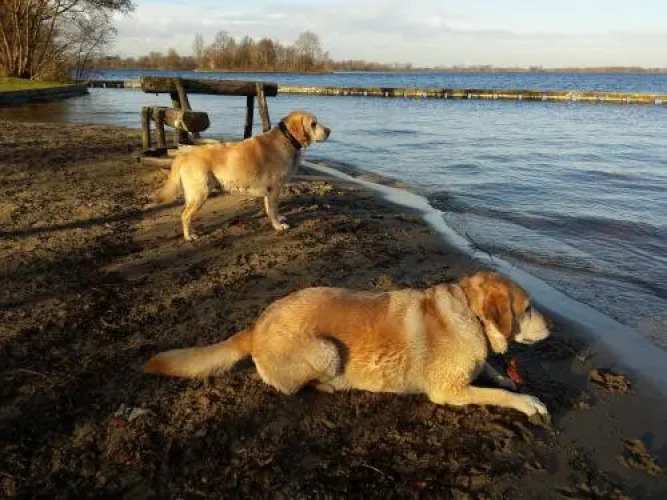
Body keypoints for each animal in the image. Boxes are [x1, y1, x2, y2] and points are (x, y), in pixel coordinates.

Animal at [144, 271, 551, 419]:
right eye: (529, 307)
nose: (552, 327)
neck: (470, 313)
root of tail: (255, 327)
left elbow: (491, 371)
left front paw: (506, 376)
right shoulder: (449, 391)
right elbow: (498, 395)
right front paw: (528, 402)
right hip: (325, 351)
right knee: (293, 387)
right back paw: (330, 386)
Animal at [154, 110, 330, 241]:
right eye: (313, 124)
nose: (329, 131)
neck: (287, 139)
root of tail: (184, 155)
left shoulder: (270, 191)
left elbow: (270, 209)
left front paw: (278, 220)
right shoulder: (274, 189)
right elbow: (273, 209)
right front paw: (277, 226)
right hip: (200, 193)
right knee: (185, 215)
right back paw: (189, 236)